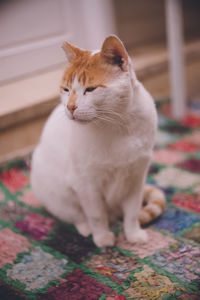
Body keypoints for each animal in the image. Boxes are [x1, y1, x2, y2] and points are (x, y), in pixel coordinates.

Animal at [30, 35, 166, 247]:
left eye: (91, 89)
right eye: (66, 89)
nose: (70, 107)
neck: (117, 124)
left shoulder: (136, 179)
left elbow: (132, 212)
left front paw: (133, 235)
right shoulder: (87, 184)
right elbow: (96, 215)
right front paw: (102, 238)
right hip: (58, 195)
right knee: (76, 215)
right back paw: (86, 229)